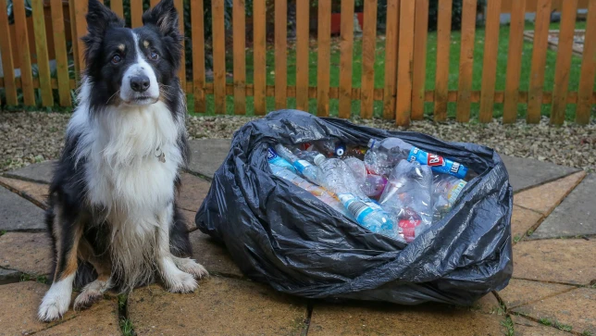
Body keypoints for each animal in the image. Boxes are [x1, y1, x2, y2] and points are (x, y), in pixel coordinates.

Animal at [38, 0, 207, 322]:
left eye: (154, 54)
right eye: (116, 57)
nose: (140, 83)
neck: (133, 124)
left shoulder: (160, 193)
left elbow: (161, 246)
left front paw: (174, 277)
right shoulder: (69, 200)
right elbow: (67, 256)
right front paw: (55, 299)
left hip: (177, 214)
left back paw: (188, 264)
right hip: (55, 214)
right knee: (104, 268)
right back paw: (90, 292)